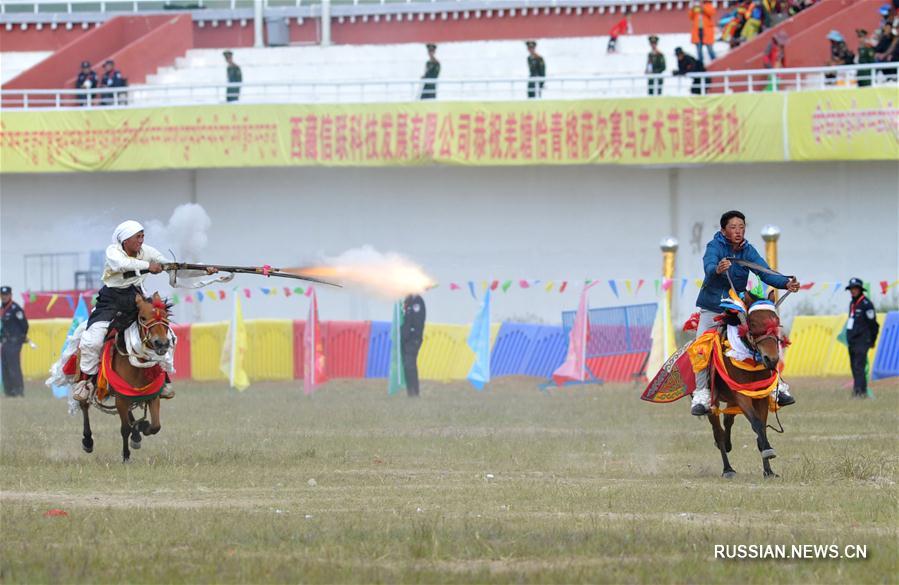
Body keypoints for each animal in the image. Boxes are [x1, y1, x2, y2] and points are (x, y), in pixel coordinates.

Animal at [79, 292, 176, 460]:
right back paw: (88, 440)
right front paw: (126, 456)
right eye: (143, 317)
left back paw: (136, 434)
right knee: (84, 405)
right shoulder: (121, 397)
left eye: (166, 317)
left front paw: (143, 427)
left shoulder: (151, 395)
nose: (162, 343)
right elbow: (124, 429)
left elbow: (156, 426)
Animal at [708, 290, 792, 476]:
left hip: (730, 400)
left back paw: (728, 444)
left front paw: (768, 470)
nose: (771, 359)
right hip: (714, 402)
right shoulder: (742, 396)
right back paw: (727, 468)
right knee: (718, 430)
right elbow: (757, 423)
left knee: (727, 421)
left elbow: (762, 426)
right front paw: (767, 450)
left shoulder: (760, 396)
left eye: (776, 322)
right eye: (752, 323)